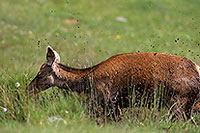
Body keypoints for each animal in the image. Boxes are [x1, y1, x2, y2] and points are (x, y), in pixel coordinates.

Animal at [27, 46, 200, 120]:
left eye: (39, 73)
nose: (29, 89)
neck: (88, 83)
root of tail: (197, 70)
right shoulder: (116, 104)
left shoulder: (106, 99)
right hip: (186, 105)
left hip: (179, 101)